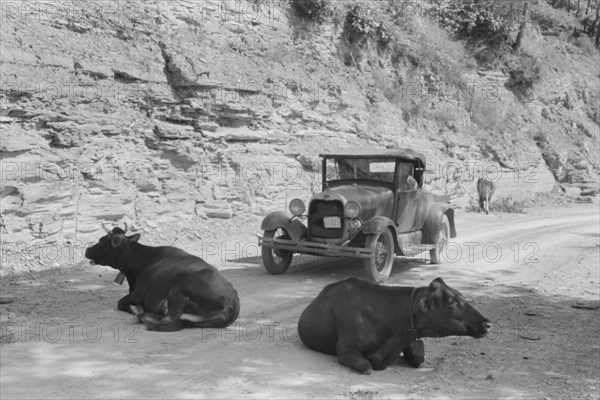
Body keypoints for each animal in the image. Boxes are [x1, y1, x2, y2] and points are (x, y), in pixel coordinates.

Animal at [85, 222, 240, 332]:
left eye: (102, 241)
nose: (87, 250)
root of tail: (233, 301)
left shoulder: (140, 292)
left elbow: (121, 303)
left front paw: (137, 309)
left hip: (177, 290)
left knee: (169, 320)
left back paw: (143, 316)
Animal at [298, 276, 490, 374]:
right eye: (451, 301)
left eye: (461, 295)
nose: (487, 323)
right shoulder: (345, 350)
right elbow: (366, 366)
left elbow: (418, 358)